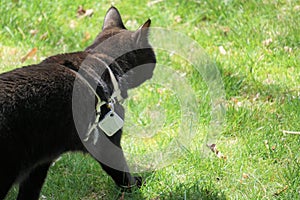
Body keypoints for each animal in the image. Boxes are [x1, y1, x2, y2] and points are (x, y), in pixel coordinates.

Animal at [0, 6, 157, 200]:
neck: (102, 60)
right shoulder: (105, 144)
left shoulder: (40, 163)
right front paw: (135, 186)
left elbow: (30, 190)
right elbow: (122, 173)